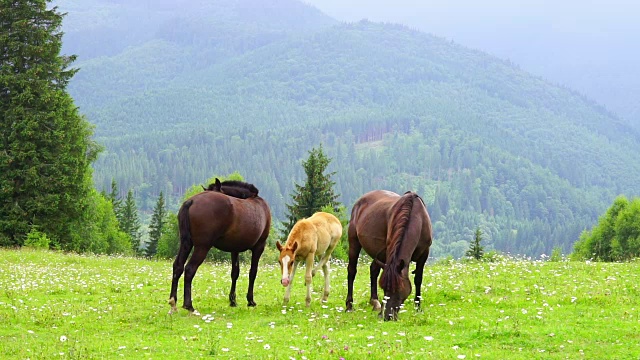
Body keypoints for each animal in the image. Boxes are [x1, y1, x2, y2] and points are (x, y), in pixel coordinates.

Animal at [168, 180, 270, 316]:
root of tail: (191, 201)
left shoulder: (235, 249)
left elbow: (235, 273)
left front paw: (233, 300)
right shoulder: (259, 246)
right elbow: (253, 272)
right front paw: (250, 300)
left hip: (186, 244)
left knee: (178, 266)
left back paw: (173, 302)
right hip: (202, 247)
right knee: (189, 269)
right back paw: (189, 305)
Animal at [344, 191, 436, 320]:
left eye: (398, 289)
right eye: (384, 289)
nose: (388, 316)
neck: (417, 217)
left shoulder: (424, 254)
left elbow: (418, 279)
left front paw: (418, 307)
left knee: (373, 270)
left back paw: (375, 302)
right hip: (354, 242)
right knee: (352, 271)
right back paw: (349, 306)